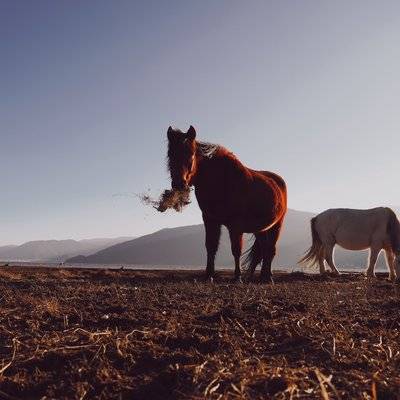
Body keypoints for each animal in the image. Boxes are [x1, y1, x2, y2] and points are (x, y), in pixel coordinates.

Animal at [166, 125, 288, 282]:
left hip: (277, 225)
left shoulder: (236, 225)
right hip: (261, 229)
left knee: (271, 250)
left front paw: (237, 277)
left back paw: (268, 278)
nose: (179, 184)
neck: (222, 181)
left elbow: (236, 250)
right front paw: (209, 276)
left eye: (191, 154)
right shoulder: (210, 220)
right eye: (170, 154)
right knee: (264, 250)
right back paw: (262, 277)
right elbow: (210, 247)